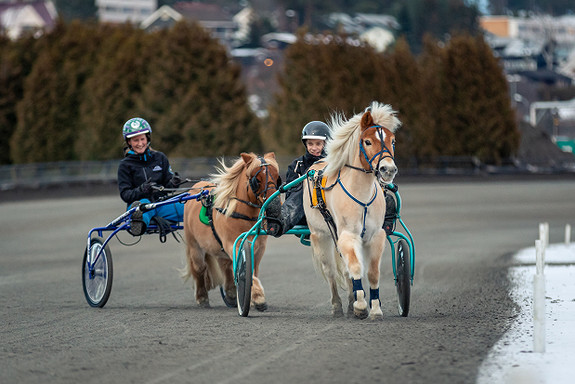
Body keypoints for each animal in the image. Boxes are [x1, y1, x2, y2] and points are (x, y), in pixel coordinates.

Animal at [180, 152, 280, 310]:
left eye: (276, 177)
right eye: (257, 179)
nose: (274, 207)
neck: (243, 214)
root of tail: (196, 188)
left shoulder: (259, 248)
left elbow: (252, 269)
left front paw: (253, 296)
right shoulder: (233, 243)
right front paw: (258, 297)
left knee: (225, 266)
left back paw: (232, 294)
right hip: (194, 245)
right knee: (199, 268)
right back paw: (202, 298)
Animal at [302, 101, 400, 318]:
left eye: (393, 141)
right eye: (368, 142)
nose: (388, 169)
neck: (361, 195)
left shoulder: (376, 235)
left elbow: (372, 272)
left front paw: (375, 308)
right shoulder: (347, 234)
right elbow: (355, 267)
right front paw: (361, 306)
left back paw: (349, 302)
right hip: (320, 235)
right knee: (330, 271)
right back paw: (338, 306)